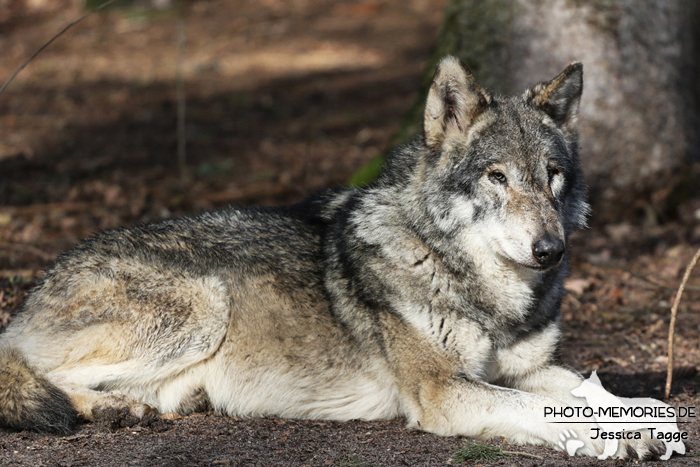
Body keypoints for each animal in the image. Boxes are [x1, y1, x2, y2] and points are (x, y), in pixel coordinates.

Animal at [0, 55, 668, 460]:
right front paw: (610, 439)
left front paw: (647, 421)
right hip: (203, 305)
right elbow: (542, 409)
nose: (550, 250)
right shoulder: (445, 391)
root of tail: (31, 294)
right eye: (497, 177)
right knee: (46, 376)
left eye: (552, 176)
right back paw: (116, 409)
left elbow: (592, 389)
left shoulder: (526, 368)